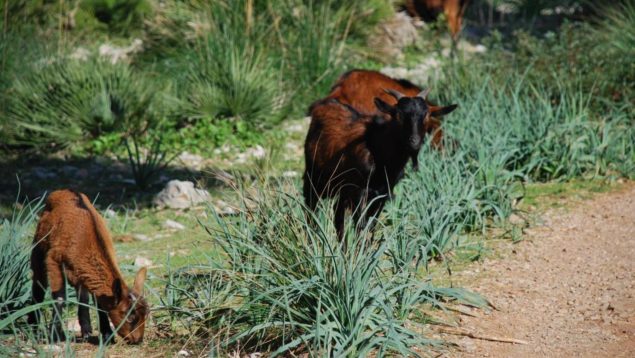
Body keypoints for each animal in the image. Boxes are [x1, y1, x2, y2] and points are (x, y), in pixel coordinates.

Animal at [28, 190, 149, 344]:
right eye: (130, 317)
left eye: (146, 314)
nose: (138, 340)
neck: (86, 240)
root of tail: (62, 191)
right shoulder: (54, 260)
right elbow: (59, 297)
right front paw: (54, 335)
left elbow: (97, 300)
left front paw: (107, 335)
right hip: (38, 248)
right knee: (38, 285)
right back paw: (32, 327)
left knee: (82, 296)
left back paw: (86, 331)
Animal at [304, 89, 458, 239]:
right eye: (398, 115)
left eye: (427, 116)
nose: (414, 141)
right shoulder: (359, 191)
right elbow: (361, 226)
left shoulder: (382, 194)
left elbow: (371, 226)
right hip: (314, 178)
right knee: (311, 210)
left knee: (337, 216)